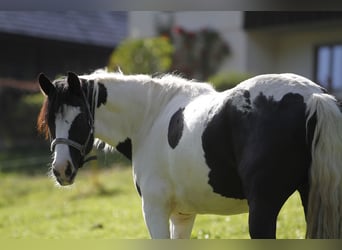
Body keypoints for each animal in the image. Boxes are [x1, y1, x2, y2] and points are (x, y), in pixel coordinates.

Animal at [37, 70, 342, 238]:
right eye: (50, 120)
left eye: (80, 118)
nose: (61, 170)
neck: (150, 118)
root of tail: (313, 96)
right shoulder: (183, 215)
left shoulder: (155, 209)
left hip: (263, 210)